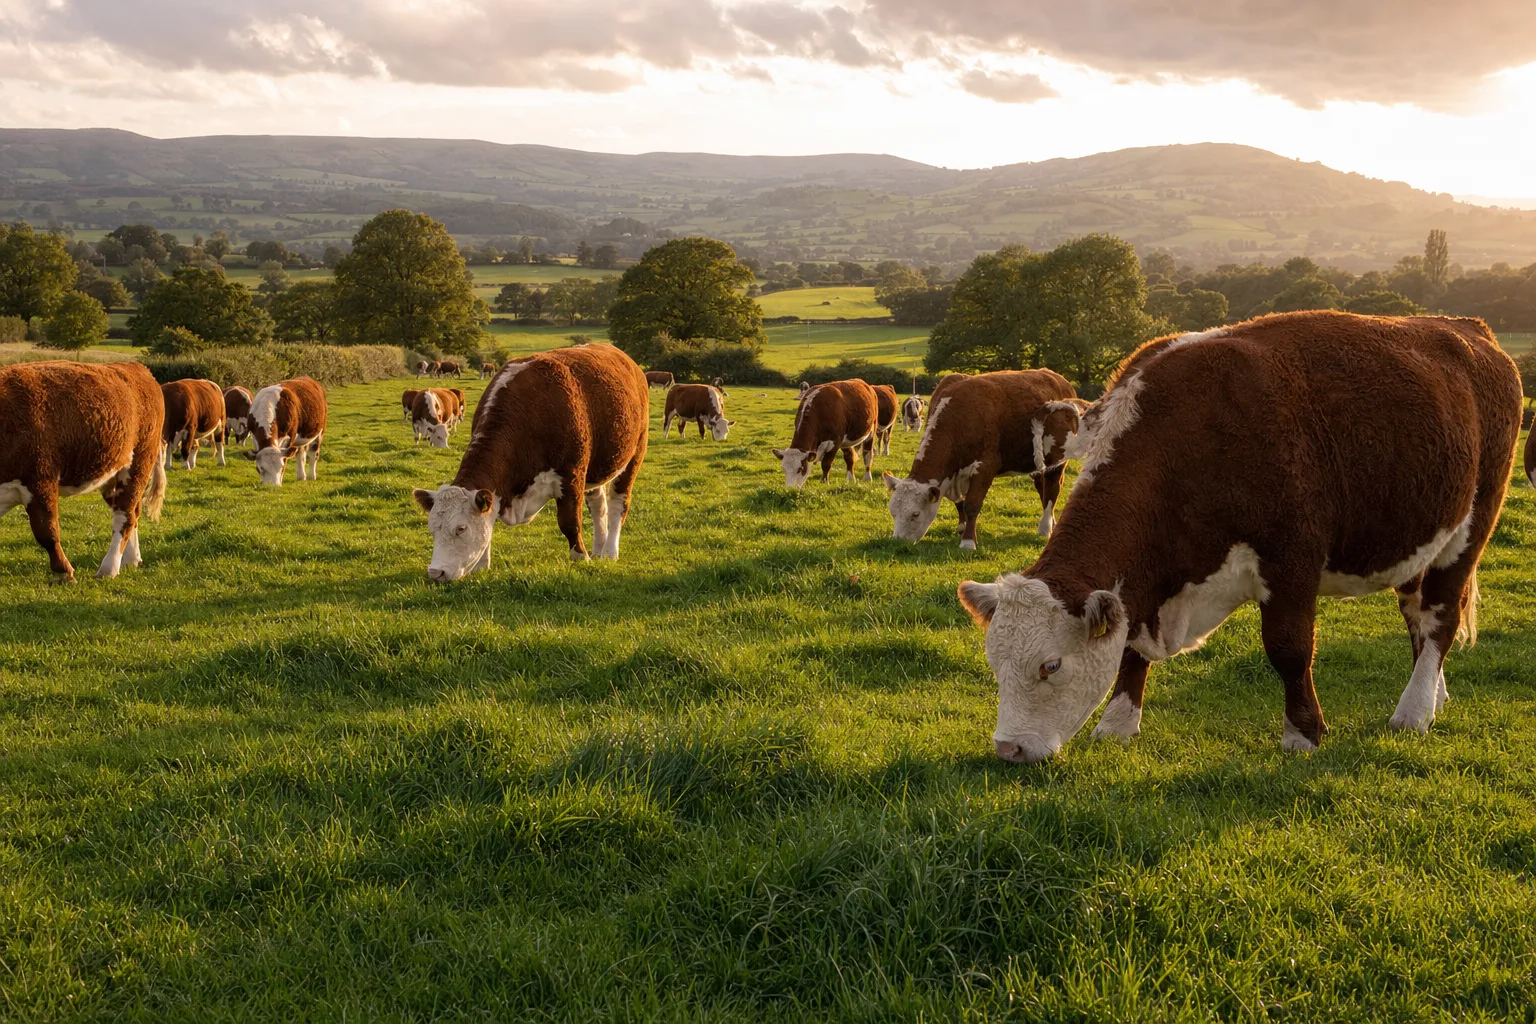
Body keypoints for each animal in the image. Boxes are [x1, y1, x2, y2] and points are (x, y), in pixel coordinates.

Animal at [0, 361, 167, 581]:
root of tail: (138, 368)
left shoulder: (40, 480)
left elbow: (46, 531)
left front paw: (64, 572)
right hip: (111, 475)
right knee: (133, 511)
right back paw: (132, 559)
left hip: (139, 463)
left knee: (125, 516)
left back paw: (109, 568)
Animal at [413, 343, 648, 576]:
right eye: (432, 528)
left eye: (461, 528)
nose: (436, 572)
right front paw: (481, 566)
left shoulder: (572, 475)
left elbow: (569, 522)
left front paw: (581, 557)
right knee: (599, 506)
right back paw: (599, 550)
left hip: (634, 454)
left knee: (618, 504)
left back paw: (610, 552)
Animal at [885, 370, 1079, 550]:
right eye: (892, 512)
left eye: (915, 514)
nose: (898, 542)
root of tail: (1061, 380)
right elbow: (960, 502)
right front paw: (962, 528)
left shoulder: (985, 467)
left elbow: (972, 504)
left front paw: (968, 542)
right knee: (1042, 488)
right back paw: (1051, 523)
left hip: (1057, 460)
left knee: (1053, 489)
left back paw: (1045, 528)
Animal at [955, 312, 1522, 765]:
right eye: (994, 664)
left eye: (1050, 665)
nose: (1008, 748)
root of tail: (1467, 327)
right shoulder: (1146, 583)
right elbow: (1131, 649)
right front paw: (1117, 725)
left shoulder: (1291, 561)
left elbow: (1289, 648)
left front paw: (1303, 733)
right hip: (1416, 539)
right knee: (1418, 617)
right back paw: (1434, 695)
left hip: (1470, 528)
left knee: (1441, 617)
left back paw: (1413, 711)